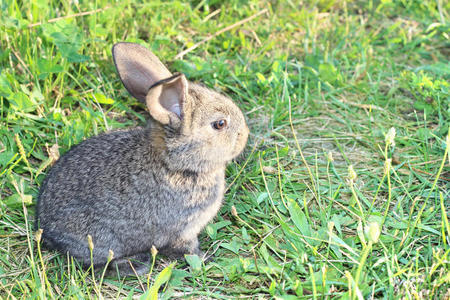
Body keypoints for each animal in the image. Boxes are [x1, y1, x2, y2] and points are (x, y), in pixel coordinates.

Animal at [35, 42, 250, 276]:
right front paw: (204, 259)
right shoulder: (183, 230)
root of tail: (46, 229)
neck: (176, 164)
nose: (245, 135)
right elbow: (187, 250)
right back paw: (136, 264)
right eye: (220, 124)